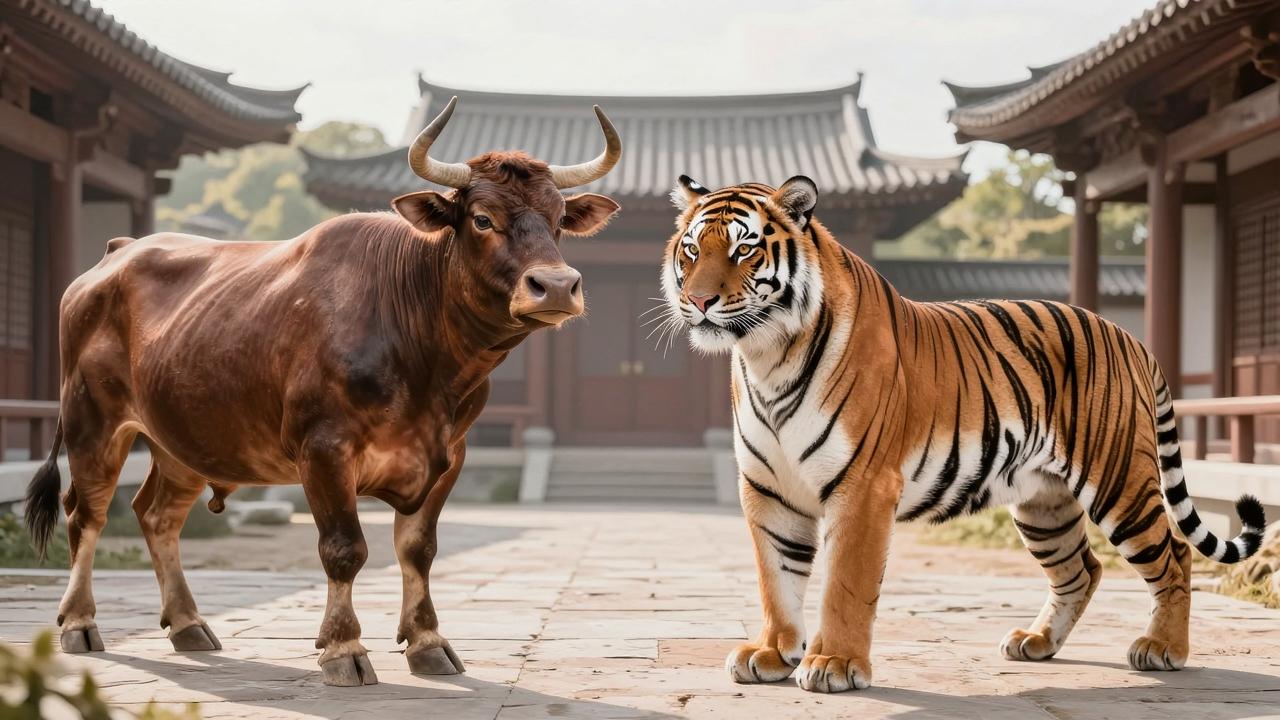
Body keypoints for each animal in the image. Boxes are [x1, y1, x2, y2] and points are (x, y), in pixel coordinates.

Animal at [658, 174, 1268, 694]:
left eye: (744, 250)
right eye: (691, 250)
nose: (699, 300)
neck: (768, 357)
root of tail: (1130, 337)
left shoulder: (862, 487)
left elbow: (845, 583)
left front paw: (834, 664)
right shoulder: (770, 489)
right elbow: (776, 578)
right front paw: (771, 652)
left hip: (1119, 482)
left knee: (1175, 555)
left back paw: (1163, 649)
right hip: (1044, 504)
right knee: (1082, 569)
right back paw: (1036, 641)